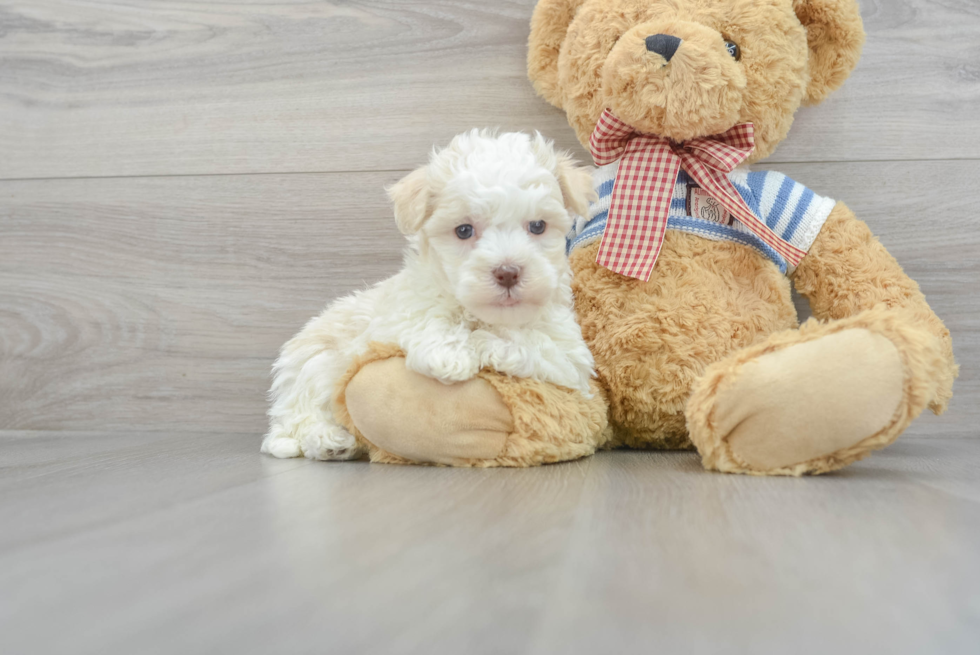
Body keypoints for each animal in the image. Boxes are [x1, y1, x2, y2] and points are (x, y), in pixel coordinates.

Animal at [264, 132, 592, 462]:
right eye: (464, 230)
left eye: (538, 226)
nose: (508, 272)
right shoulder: (397, 312)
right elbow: (426, 316)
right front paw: (449, 355)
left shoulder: (570, 357)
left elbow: (536, 345)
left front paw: (481, 342)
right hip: (315, 364)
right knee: (300, 416)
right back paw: (327, 440)